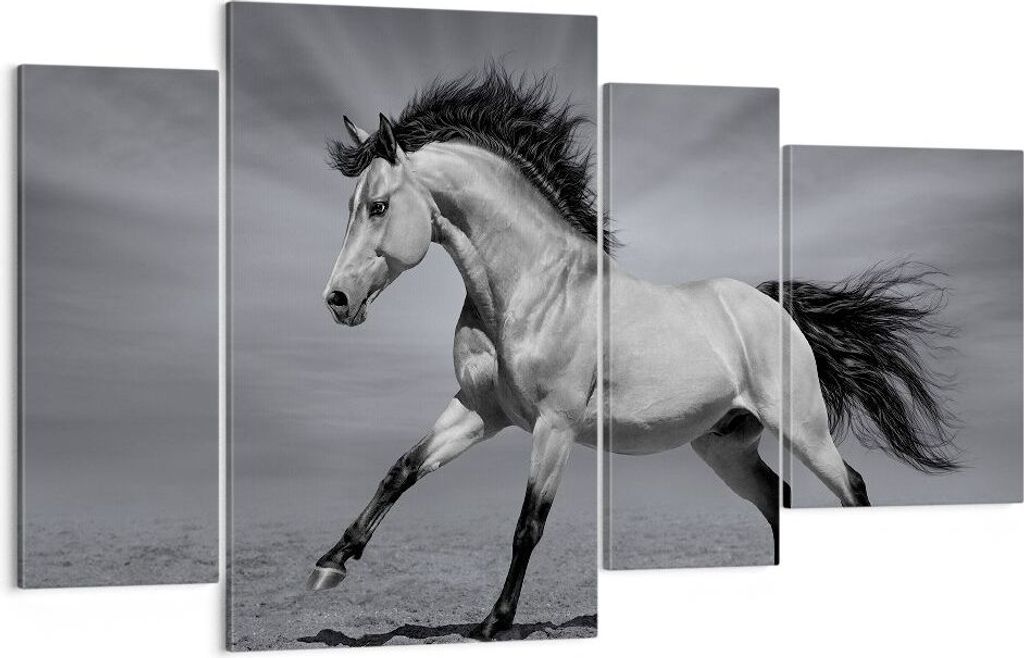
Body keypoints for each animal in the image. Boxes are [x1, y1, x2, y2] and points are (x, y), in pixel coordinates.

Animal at [304, 69, 958, 639]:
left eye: (378, 206)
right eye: (351, 207)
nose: (337, 300)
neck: (532, 288)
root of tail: (772, 305)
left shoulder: (554, 425)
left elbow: (527, 525)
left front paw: (494, 622)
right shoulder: (479, 411)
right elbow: (402, 470)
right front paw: (330, 563)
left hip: (803, 428)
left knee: (852, 489)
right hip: (724, 446)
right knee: (781, 501)